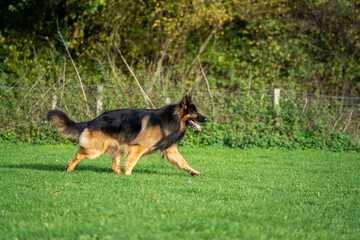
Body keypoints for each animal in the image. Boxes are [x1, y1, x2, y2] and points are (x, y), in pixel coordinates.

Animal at [46, 94, 207, 176]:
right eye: (194, 112)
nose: (206, 119)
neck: (171, 118)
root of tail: (91, 121)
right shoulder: (139, 147)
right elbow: (132, 161)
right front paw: (129, 175)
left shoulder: (169, 149)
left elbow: (182, 161)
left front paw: (192, 171)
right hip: (95, 149)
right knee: (79, 154)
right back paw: (69, 168)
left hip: (118, 148)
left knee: (114, 165)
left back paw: (118, 174)